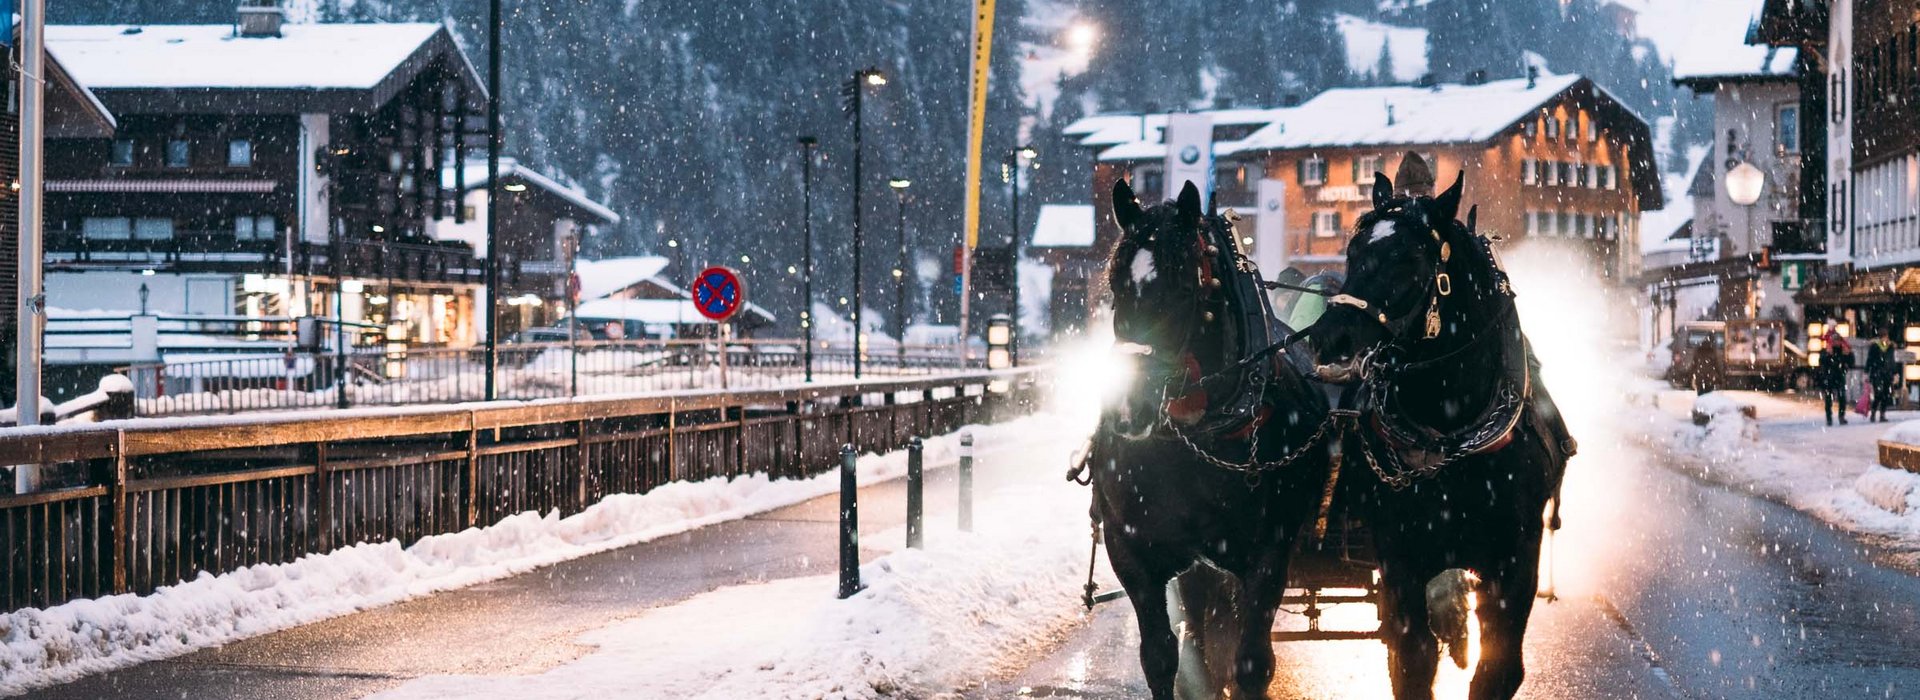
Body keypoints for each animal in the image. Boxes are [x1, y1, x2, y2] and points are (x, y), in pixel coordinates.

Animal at [1098, 178, 1336, 694]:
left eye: (1184, 287)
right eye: (1116, 285)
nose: (1127, 406)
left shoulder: (1269, 554)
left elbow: (1251, 663)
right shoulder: (1132, 551)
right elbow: (1160, 656)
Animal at [1313, 170, 1566, 698]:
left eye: (1407, 260)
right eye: (1353, 251)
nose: (1330, 340)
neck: (1451, 437)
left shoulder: (1515, 561)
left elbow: (1499, 667)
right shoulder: (1400, 559)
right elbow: (1413, 660)